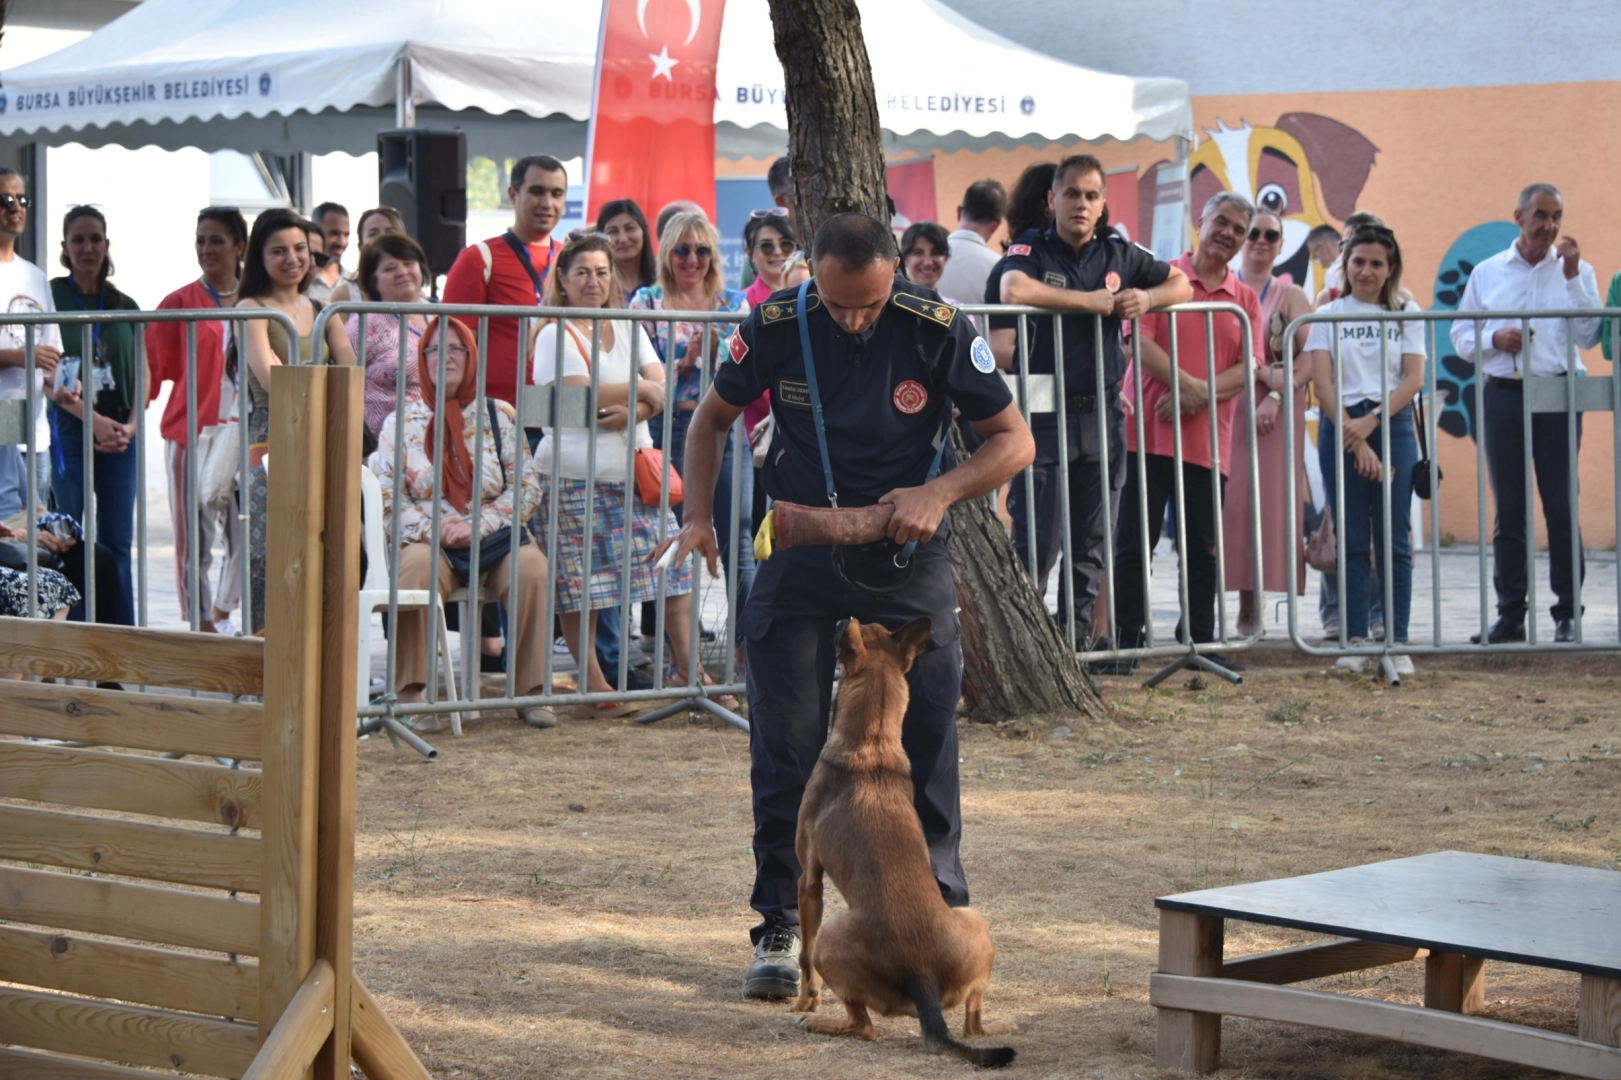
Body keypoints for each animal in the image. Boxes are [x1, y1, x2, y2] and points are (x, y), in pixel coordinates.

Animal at [787, 619, 1011, 1063]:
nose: (836, 620)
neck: (871, 746)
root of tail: (920, 975)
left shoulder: (809, 881)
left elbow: (804, 958)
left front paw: (806, 1001)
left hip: (831, 933)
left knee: (864, 1026)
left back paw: (819, 1022)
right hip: (975, 919)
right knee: (974, 1021)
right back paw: (996, 1025)